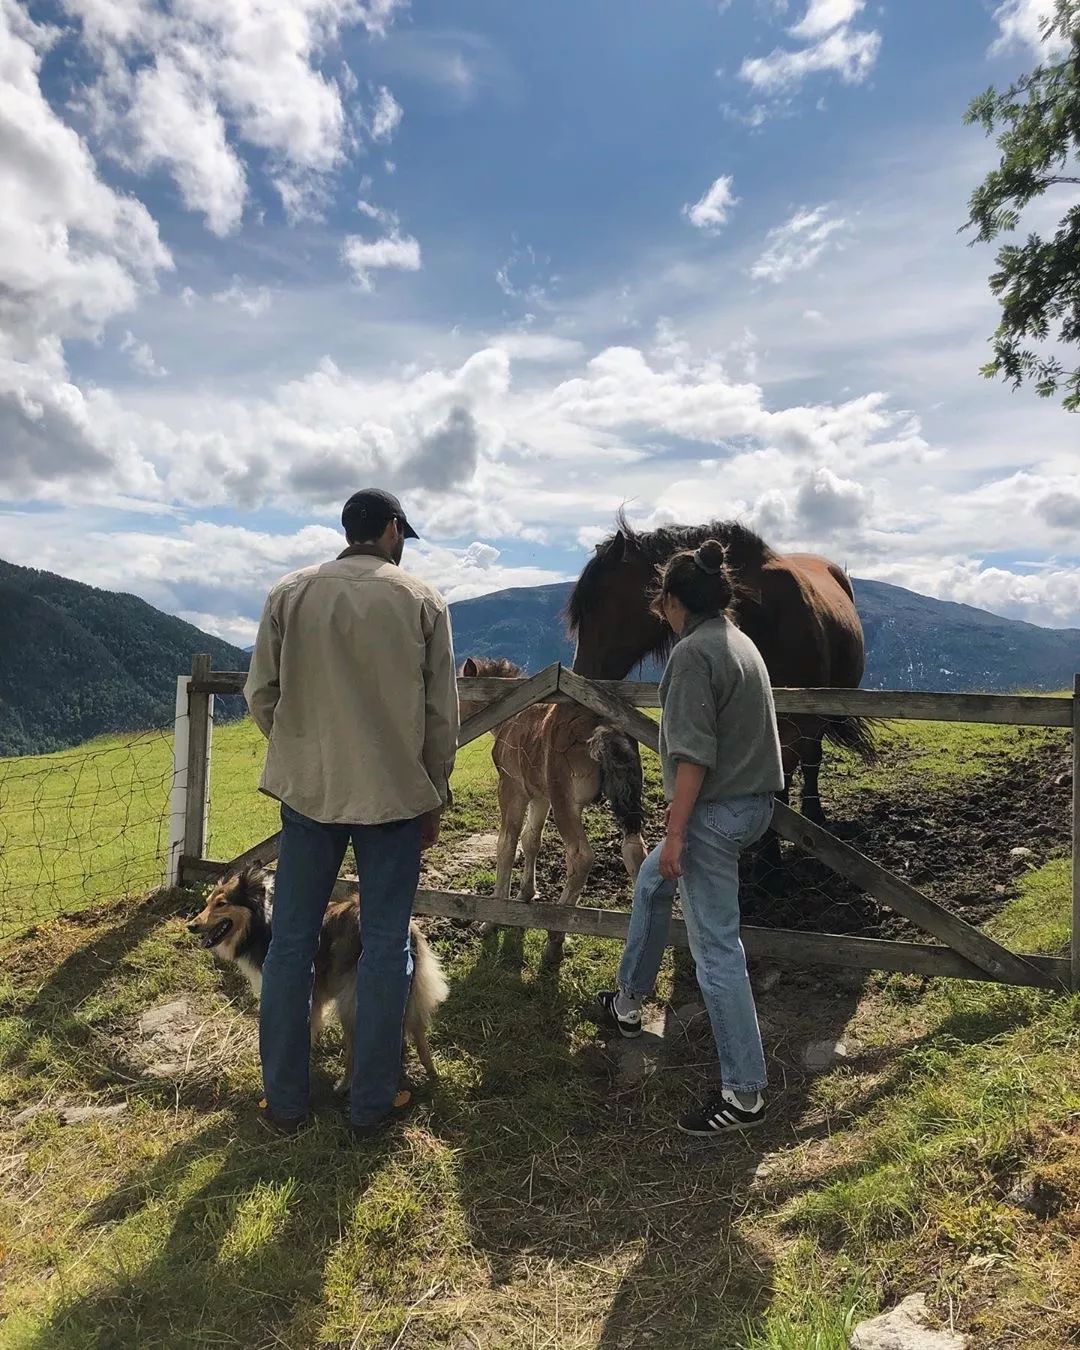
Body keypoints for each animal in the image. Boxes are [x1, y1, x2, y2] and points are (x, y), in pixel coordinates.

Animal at [187, 869, 448, 1080]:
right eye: (208, 903)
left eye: (221, 904)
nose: (191, 926)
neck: (262, 923)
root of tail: (408, 933)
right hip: (410, 994)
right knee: (417, 1033)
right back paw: (429, 1073)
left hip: (351, 1002)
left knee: (358, 1049)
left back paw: (344, 1085)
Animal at [459, 656, 645, 966]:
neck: (512, 718)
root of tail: (607, 727)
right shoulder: (540, 797)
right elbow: (531, 840)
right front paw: (525, 894)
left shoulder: (512, 789)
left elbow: (507, 843)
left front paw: (492, 918)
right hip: (626, 802)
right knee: (636, 852)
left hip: (565, 803)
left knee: (580, 857)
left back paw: (556, 936)